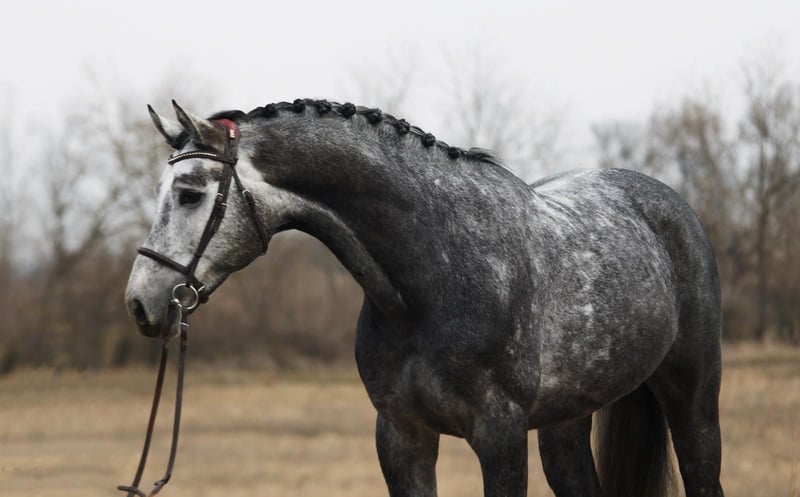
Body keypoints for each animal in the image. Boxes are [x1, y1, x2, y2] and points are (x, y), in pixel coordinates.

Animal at [125, 98, 724, 497]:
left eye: (190, 193)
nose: (139, 303)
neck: (432, 279)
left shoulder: (500, 437)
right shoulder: (401, 435)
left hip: (692, 400)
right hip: (566, 425)